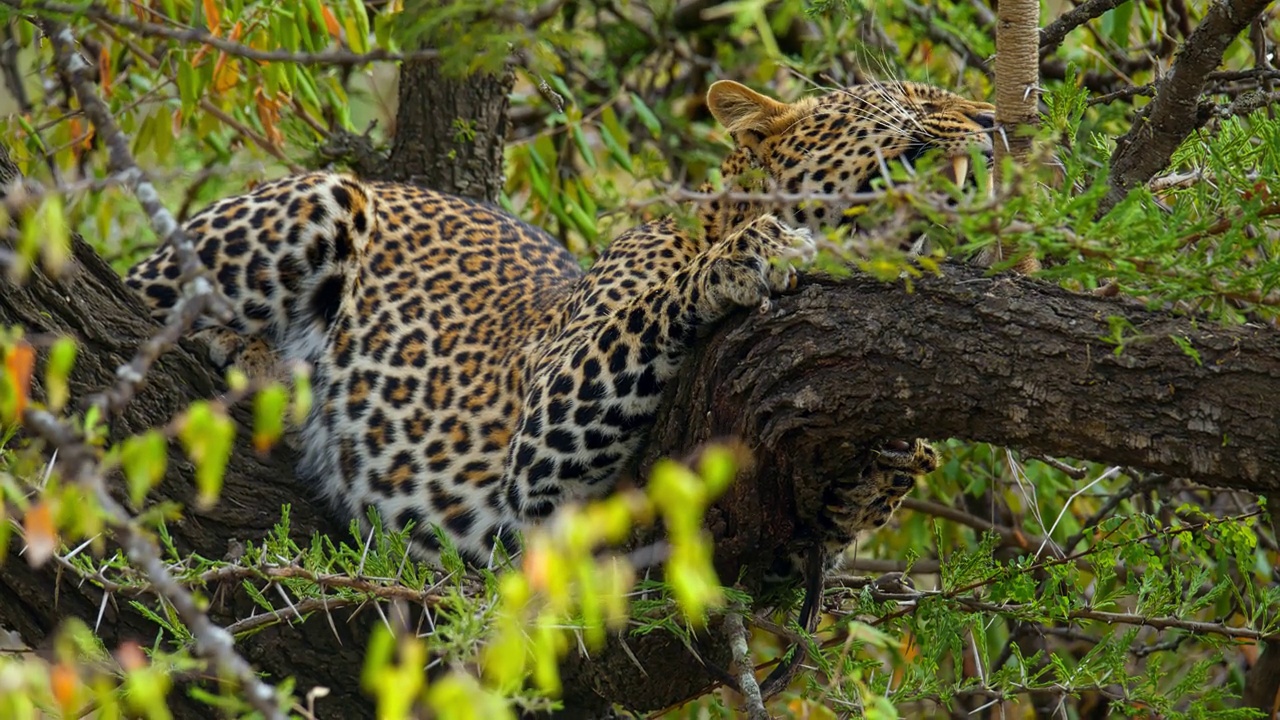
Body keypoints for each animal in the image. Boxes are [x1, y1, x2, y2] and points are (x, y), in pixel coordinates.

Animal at [124, 78, 993, 568]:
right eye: (912, 101)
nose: (992, 116)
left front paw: (894, 462)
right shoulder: (542, 450)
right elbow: (656, 306)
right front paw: (751, 255)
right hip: (324, 196)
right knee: (143, 296)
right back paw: (250, 353)